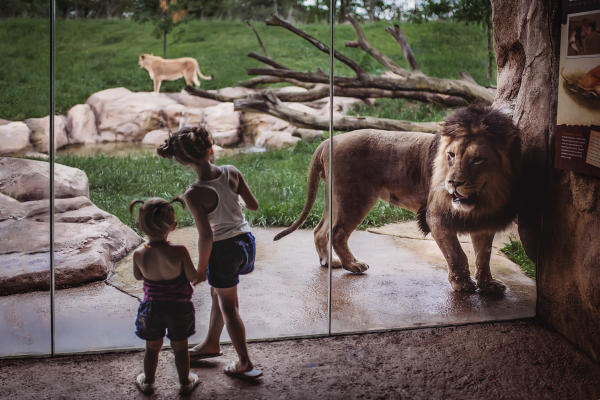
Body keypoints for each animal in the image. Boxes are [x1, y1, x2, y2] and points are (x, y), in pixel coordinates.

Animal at [276, 104, 520, 296]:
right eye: (451, 155)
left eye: (477, 160)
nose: (452, 183)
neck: (481, 200)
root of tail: (327, 141)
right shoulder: (435, 217)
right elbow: (457, 253)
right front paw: (462, 285)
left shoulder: (485, 222)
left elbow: (484, 255)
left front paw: (488, 286)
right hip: (354, 198)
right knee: (337, 233)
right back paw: (352, 265)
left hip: (335, 199)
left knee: (321, 230)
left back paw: (329, 262)